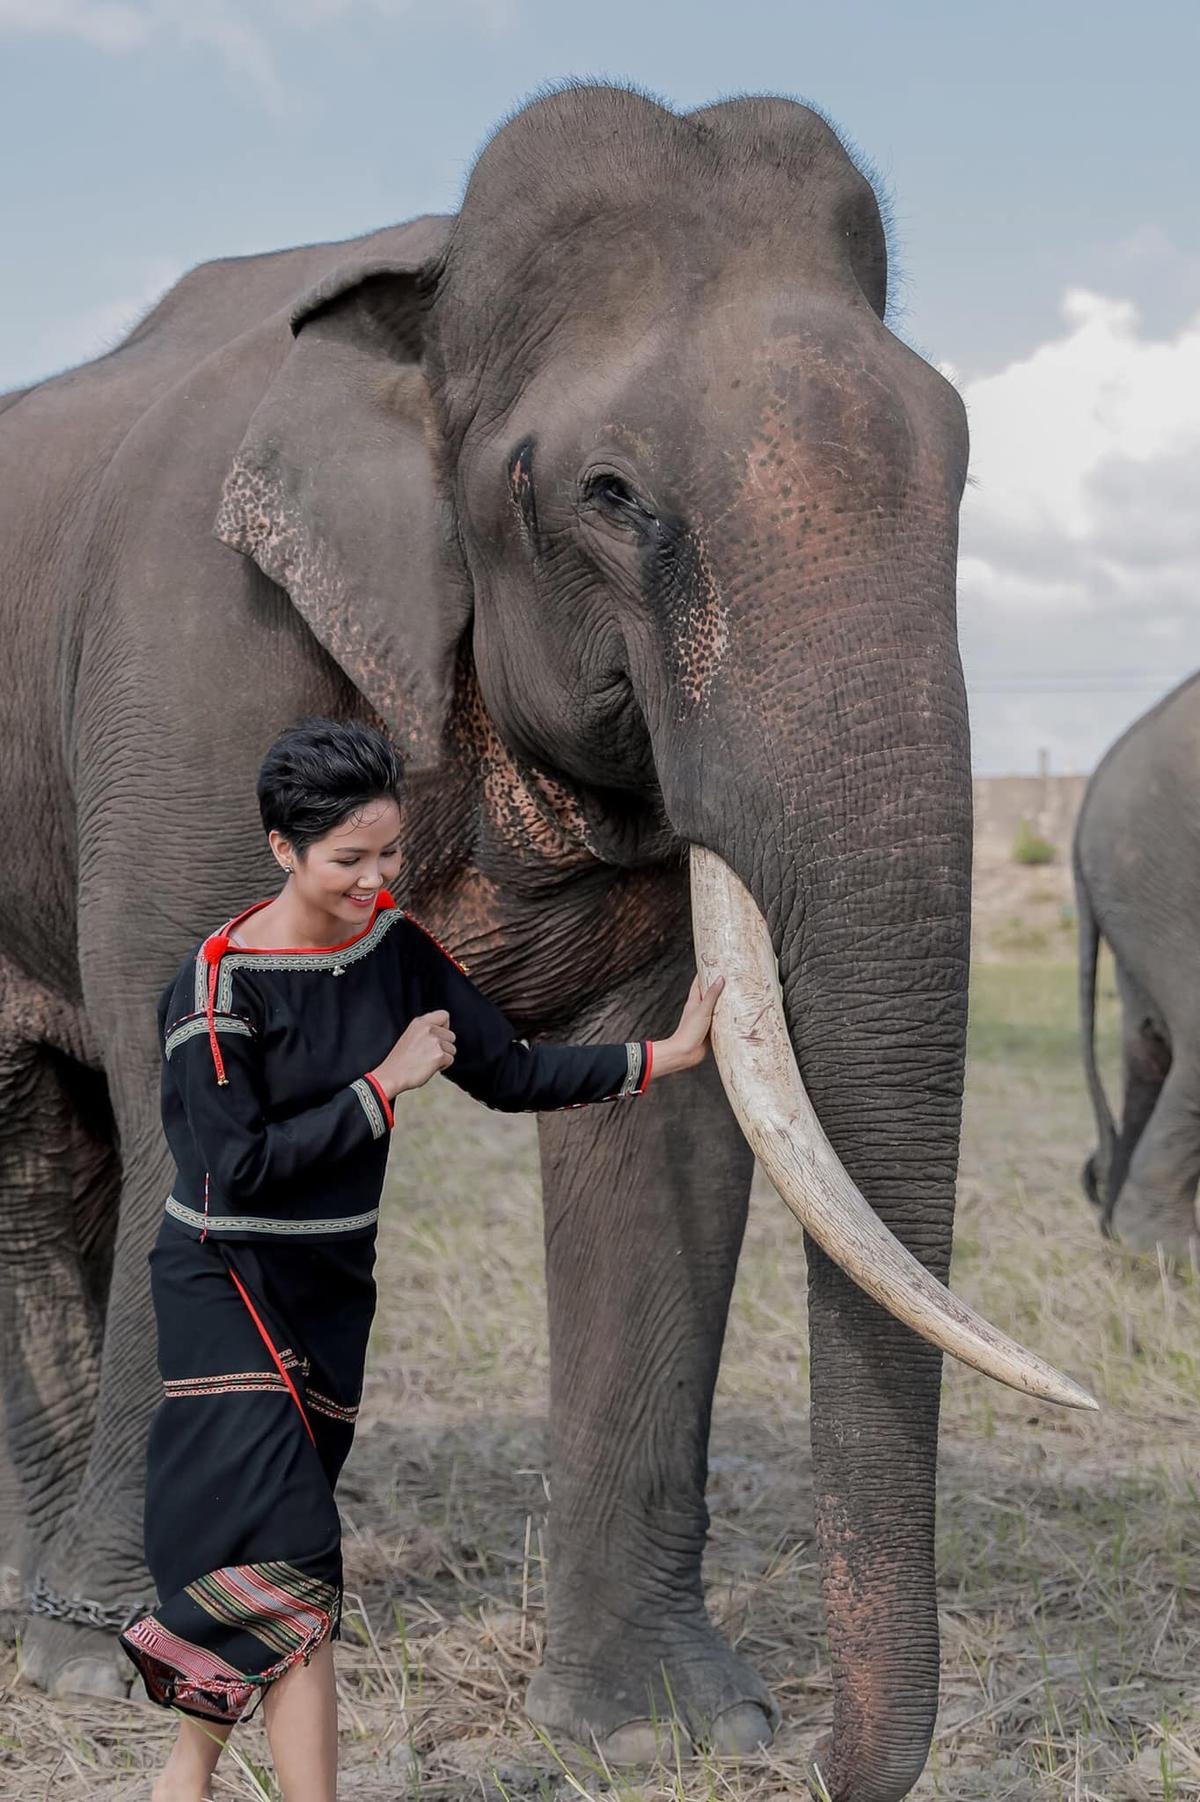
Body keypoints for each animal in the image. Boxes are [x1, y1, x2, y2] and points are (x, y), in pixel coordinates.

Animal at [0, 84, 1081, 1802]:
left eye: (969, 472)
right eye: (611, 495)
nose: (829, 1761)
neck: (430, 293)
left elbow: (661, 1131)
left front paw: (655, 1726)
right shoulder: (190, 659)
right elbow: (195, 1089)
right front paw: (121, 1666)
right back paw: (66, 1620)